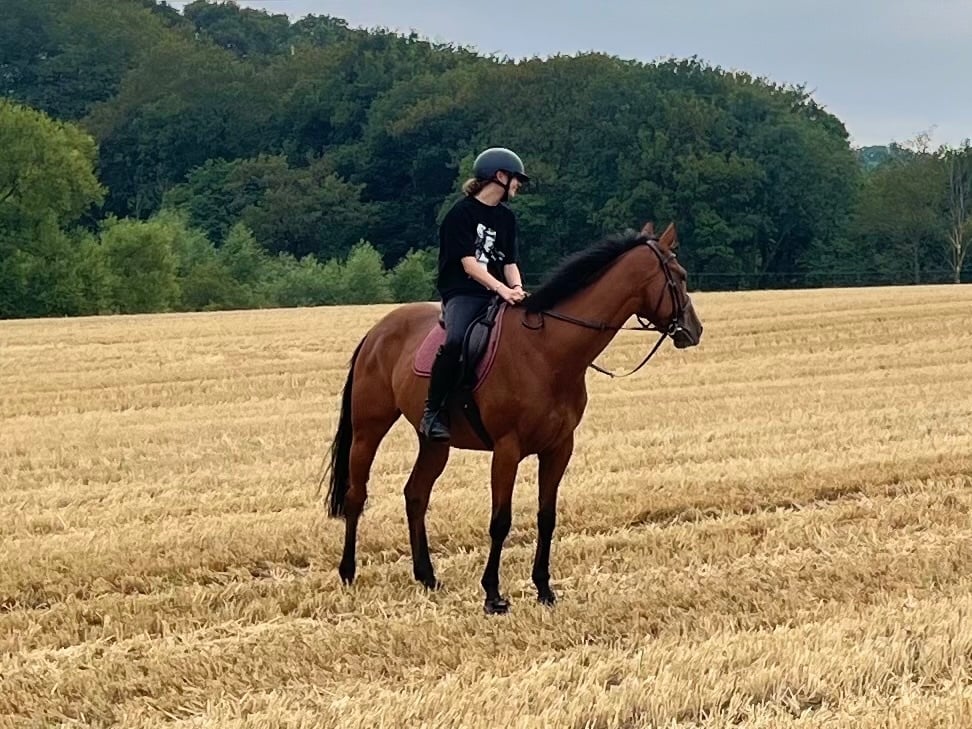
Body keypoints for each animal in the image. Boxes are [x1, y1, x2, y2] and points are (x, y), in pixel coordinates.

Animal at [322, 221, 703, 614]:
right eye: (680, 275)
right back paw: (348, 572)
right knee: (356, 495)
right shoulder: (508, 449)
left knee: (416, 494)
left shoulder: (558, 449)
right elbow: (500, 521)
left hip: (434, 442)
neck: (549, 350)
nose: (694, 330)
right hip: (369, 428)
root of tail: (376, 332)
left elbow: (546, 517)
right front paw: (493, 594)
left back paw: (426, 576)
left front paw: (544, 589)